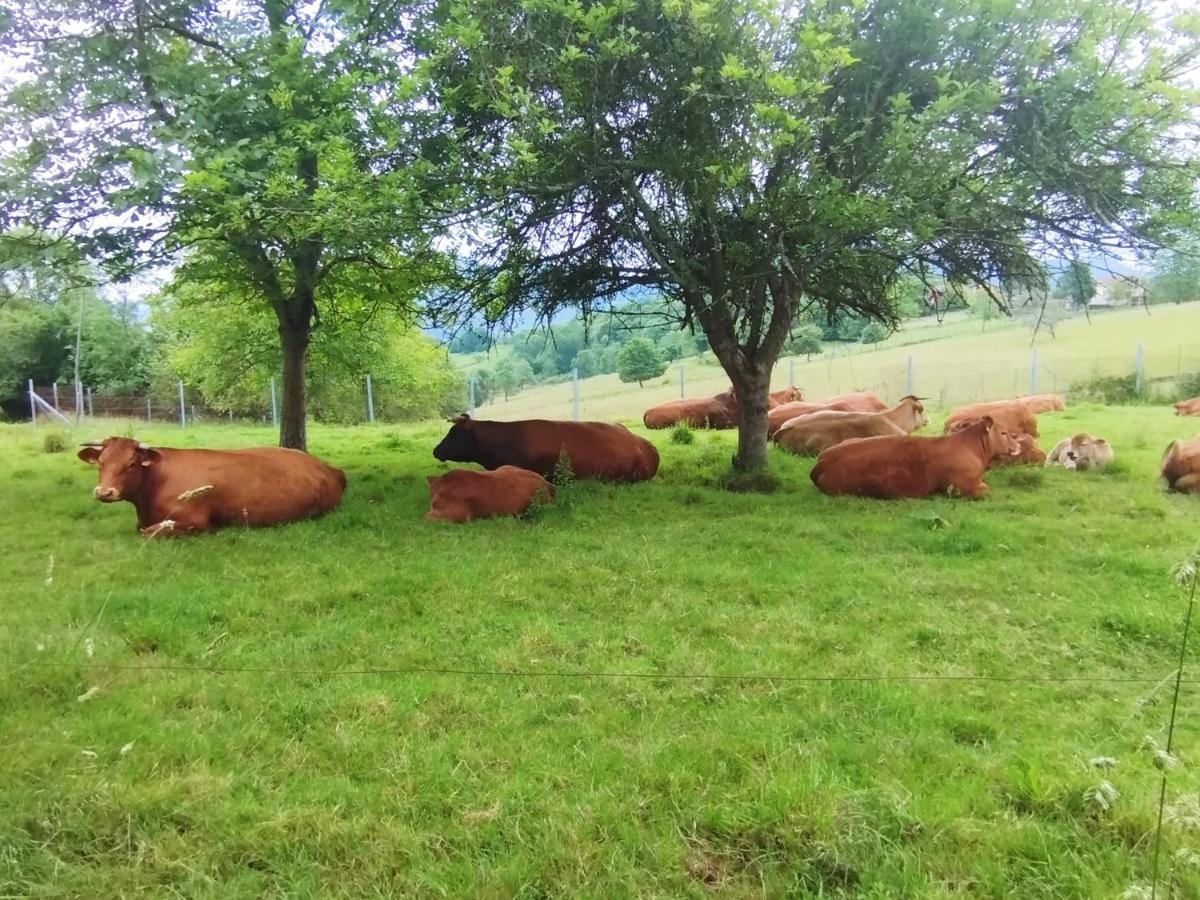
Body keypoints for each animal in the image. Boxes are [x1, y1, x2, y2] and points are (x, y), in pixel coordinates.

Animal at [78, 439, 345, 540]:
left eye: (131, 463)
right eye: (101, 462)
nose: (104, 492)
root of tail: (330, 468)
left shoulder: (198, 523)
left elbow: (149, 532)